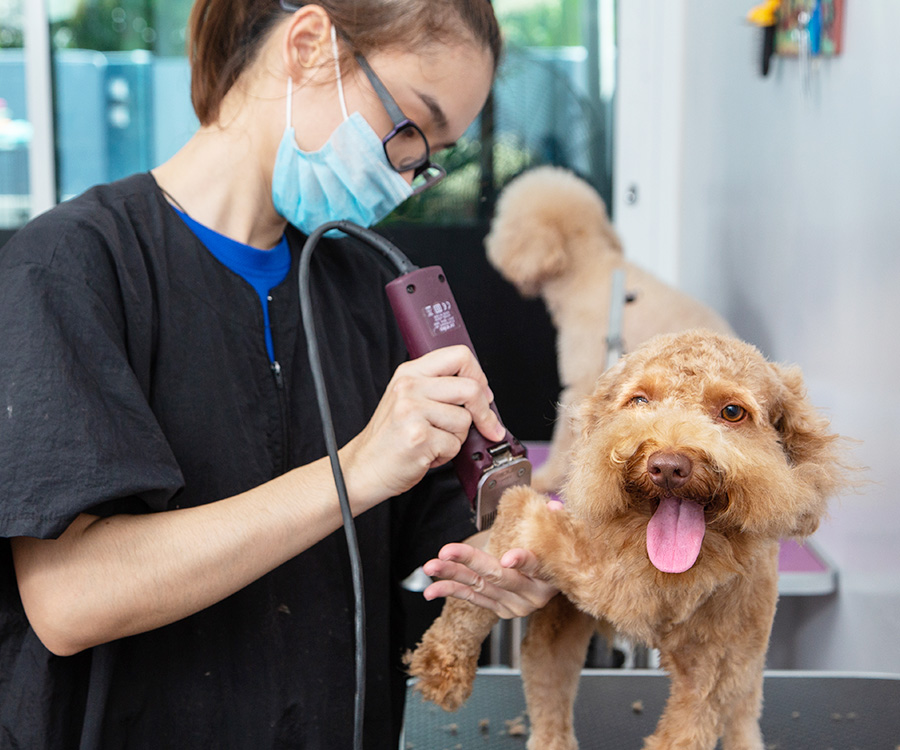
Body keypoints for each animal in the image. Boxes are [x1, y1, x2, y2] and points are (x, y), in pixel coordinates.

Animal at [404, 330, 848, 750]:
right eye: (639, 400)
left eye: (732, 412)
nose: (668, 466)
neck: (657, 573)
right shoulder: (566, 588)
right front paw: (444, 665)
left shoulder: (710, 675)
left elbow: (688, 727)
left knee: (744, 713)